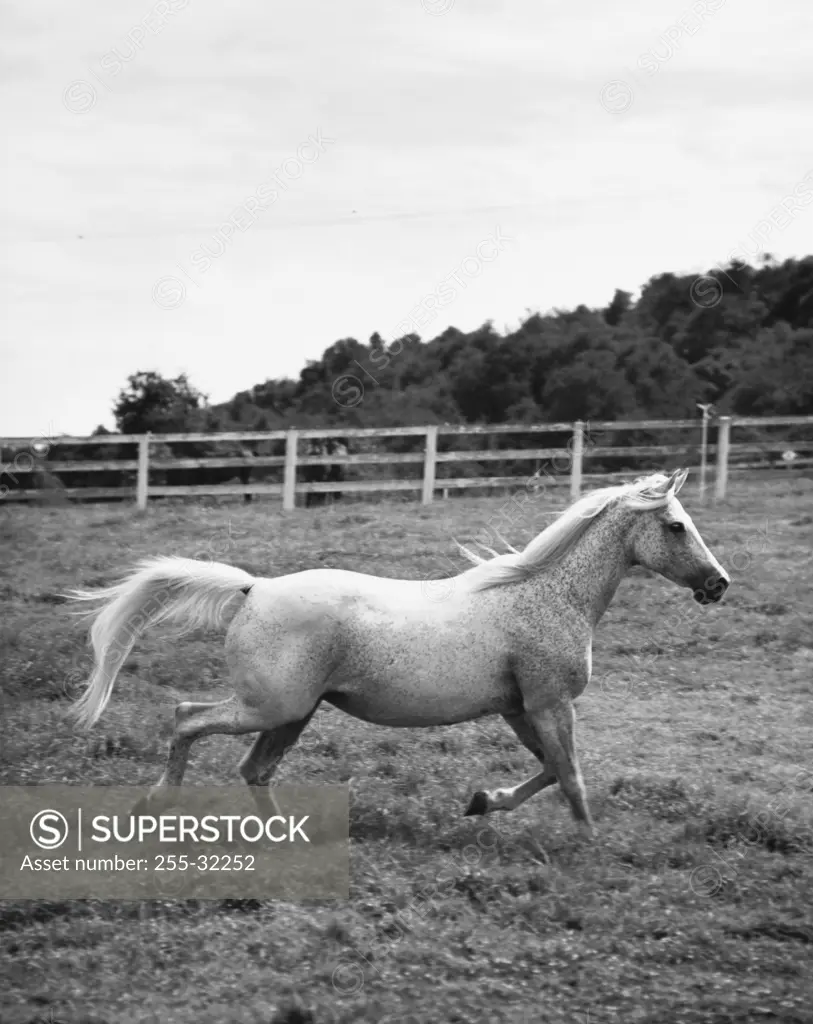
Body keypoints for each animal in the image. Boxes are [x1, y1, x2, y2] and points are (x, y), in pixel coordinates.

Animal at [68, 468, 729, 835]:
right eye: (675, 526)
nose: (718, 584)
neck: (546, 594)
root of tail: (254, 588)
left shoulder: (521, 708)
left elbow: (547, 769)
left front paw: (481, 802)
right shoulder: (549, 702)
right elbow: (568, 774)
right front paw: (588, 840)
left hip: (293, 714)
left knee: (253, 768)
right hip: (272, 708)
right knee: (187, 718)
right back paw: (158, 802)